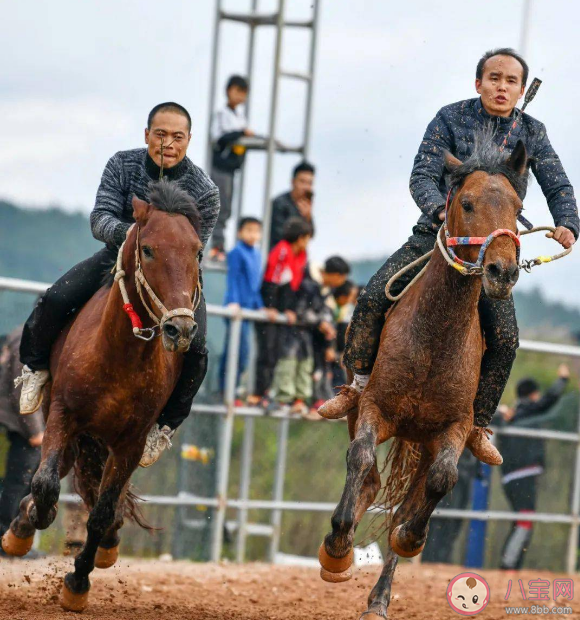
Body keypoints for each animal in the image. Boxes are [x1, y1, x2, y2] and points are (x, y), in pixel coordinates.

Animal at [1, 182, 202, 612]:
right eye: (148, 249)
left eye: (196, 251)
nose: (180, 329)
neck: (119, 356)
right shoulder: (63, 416)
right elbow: (45, 484)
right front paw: (38, 519)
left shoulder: (131, 442)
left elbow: (103, 510)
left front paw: (77, 582)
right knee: (53, 475)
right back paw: (22, 529)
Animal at [320, 138, 528, 616]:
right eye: (466, 203)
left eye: (518, 207)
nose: (503, 271)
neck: (436, 334)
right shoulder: (375, 408)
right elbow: (360, 460)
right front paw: (337, 549)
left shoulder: (454, 427)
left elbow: (440, 482)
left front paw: (410, 538)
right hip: (361, 412)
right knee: (368, 478)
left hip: (426, 440)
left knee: (409, 499)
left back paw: (379, 599)